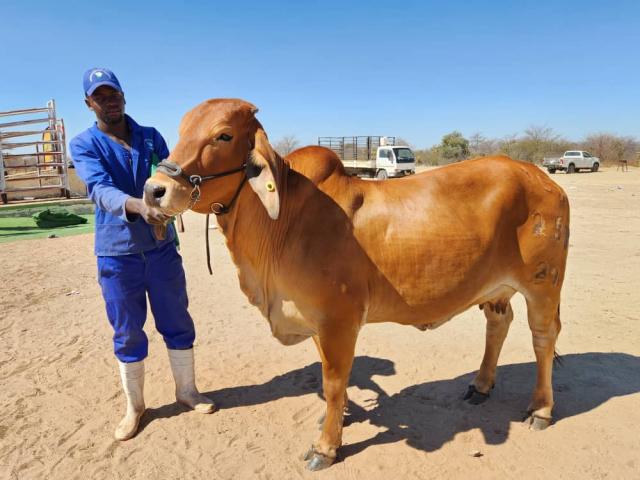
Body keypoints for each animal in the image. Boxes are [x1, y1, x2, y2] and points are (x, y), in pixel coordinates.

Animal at [144, 98, 570, 470]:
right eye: (180, 131)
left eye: (224, 135)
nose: (154, 190)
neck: (283, 222)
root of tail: (542, 177)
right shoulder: (316, 320)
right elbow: (332, 378)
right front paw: (338, 420)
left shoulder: (338, 320)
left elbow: (333, 381)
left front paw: (326, 447)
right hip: (497, 288)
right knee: (498, 324)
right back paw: (480, 386)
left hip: (543, 284)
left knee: (543, 338)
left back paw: (541, 409)